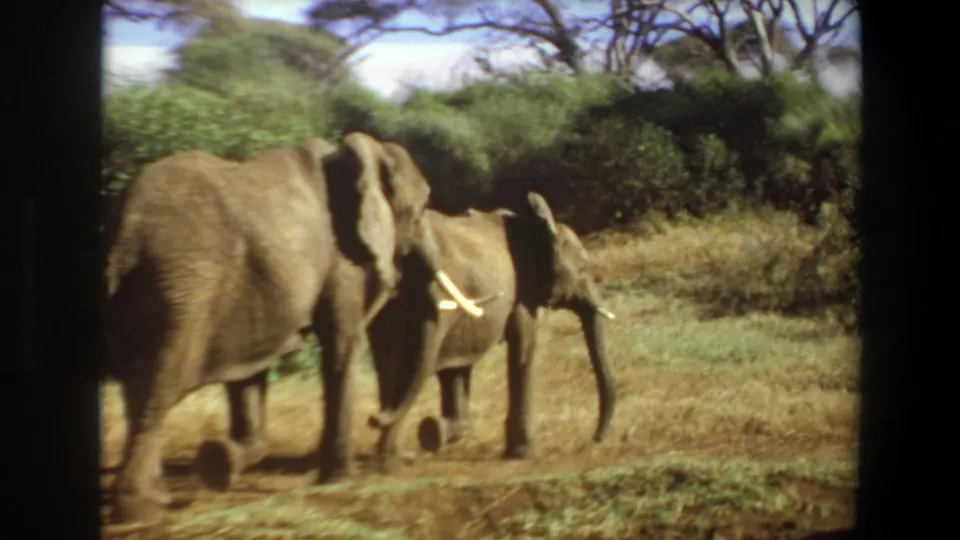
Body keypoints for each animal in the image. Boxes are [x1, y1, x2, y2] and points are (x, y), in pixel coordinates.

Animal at [102, 132, 487, 524]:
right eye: (422, 210)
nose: (375, 417)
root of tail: (126, 228)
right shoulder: (343, 258)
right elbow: (343, 344)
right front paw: (343, 480)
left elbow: (250, 370)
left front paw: (221, 462)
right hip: (184, 289)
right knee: (157, 387)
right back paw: (141, 511)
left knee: (137, 391)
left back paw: (159, 495)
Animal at [362, 192, 617, 470]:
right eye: (582, 270)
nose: (597, 438)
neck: (538, 225)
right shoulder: (523, 293)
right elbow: (524, 347)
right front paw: (521, 454)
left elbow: (456, 368)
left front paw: (439, 431)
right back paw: (392, 455)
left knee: (393, 365)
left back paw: (393, 456)